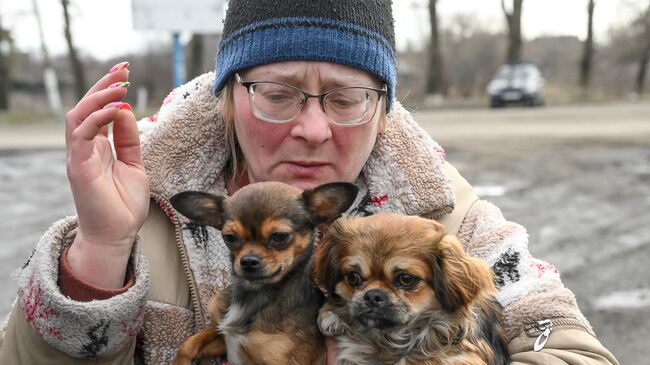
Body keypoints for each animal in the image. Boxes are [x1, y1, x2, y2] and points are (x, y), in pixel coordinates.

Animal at [170, 181, 356, 362]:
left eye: (279, 236)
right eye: (229, 237)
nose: (248, 261)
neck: (253, 294)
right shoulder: (222, 335)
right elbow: (188, 345)